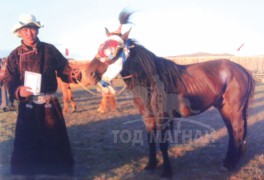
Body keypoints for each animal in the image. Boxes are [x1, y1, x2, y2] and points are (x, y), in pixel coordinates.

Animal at [79, 9, 256, 177]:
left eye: (114, 49)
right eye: (100, 46)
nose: (89, 73)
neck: (150, 81)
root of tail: (242, 70)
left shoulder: (162, 117)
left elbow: (163, 144)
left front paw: (166, 171)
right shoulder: (148, 117)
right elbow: (150, 140)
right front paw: (150, 165)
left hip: (235, 109)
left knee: (238, 131)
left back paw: (231, 164)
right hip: (224, 108)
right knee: (232, 132)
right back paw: (227, 162)